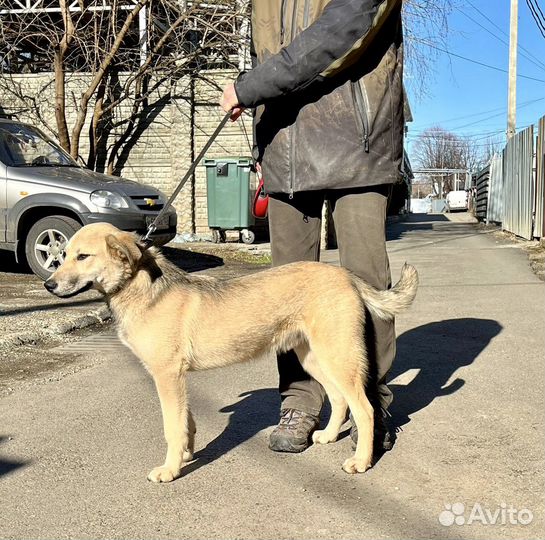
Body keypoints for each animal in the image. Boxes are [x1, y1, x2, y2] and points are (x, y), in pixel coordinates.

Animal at [44, 221, 418, 484]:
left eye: (83, 256)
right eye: (64, 254)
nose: (48, 285)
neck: (141, 288)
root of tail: (345, 275)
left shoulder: (167, 376)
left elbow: (171, 426)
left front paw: (170, 469)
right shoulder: (177, 379)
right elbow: (186, 422)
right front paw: (185, 455)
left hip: (339, 356)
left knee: (365, 408)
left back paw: (361, 461)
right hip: (313, 357)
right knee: (339, 398)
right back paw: (326, 435)